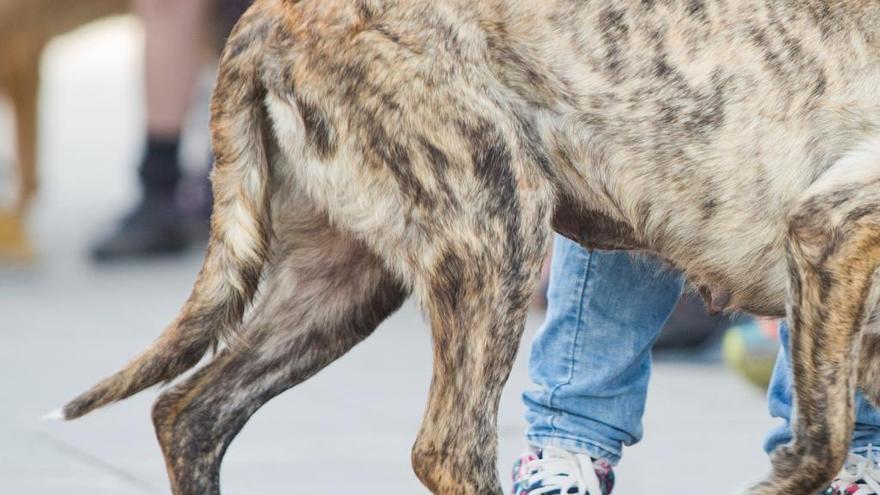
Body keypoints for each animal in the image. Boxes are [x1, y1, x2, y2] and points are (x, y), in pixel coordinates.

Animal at [56, 0, 880, 494]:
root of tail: (266, 15)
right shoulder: (829, 231)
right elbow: (823, 440)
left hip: (344, 281)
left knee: (191, 409)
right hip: (497, 228)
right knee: (447, 446)